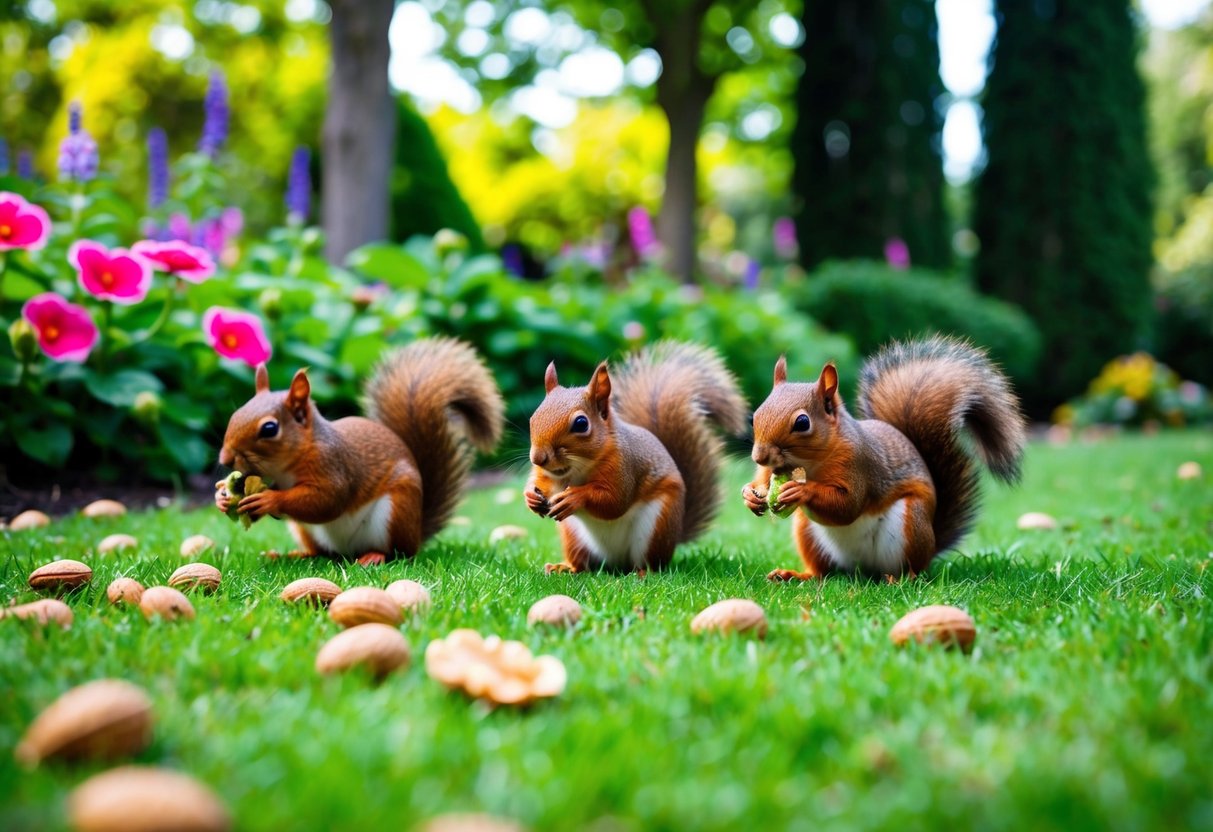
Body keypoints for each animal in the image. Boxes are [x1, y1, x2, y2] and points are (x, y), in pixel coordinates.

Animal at [215, 337, 504, 565]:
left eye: (269, 428)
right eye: (234, 415)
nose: (225, 459)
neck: (287, 466)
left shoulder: (333, 465)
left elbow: (327, 500)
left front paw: (269, 500)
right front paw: (222, 497)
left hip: (396, 510)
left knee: (399, 553)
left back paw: (375, 555)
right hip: (305, 530)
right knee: (321, 552)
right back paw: (293, 554)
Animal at [525, 341, 747, 574]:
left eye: (581, 423)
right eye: (533, 417)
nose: (538, 458)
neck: (576, 470)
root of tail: (616, 563)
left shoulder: (625, 467)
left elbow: (614, 502)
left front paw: (575, 497)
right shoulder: (546, 475)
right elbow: (539, 483)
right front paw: (530, 496)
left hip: (656, 525)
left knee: (652, 563)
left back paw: (642, 572)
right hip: (572, 535)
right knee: (583, 564)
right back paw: (565, 567)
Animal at [742, 335, 1027, 581]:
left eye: (802, 422)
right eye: (755, 416)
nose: (759, 456)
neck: (808, 463)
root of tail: (863, 570)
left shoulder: (859, 464)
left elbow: (848, 505)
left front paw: (801, 491)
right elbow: (764, 481)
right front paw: (750, 494)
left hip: (912, 521)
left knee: (913, 569)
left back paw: (902, 579)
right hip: (807, 531)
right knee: (822, 572)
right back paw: (795, 575)